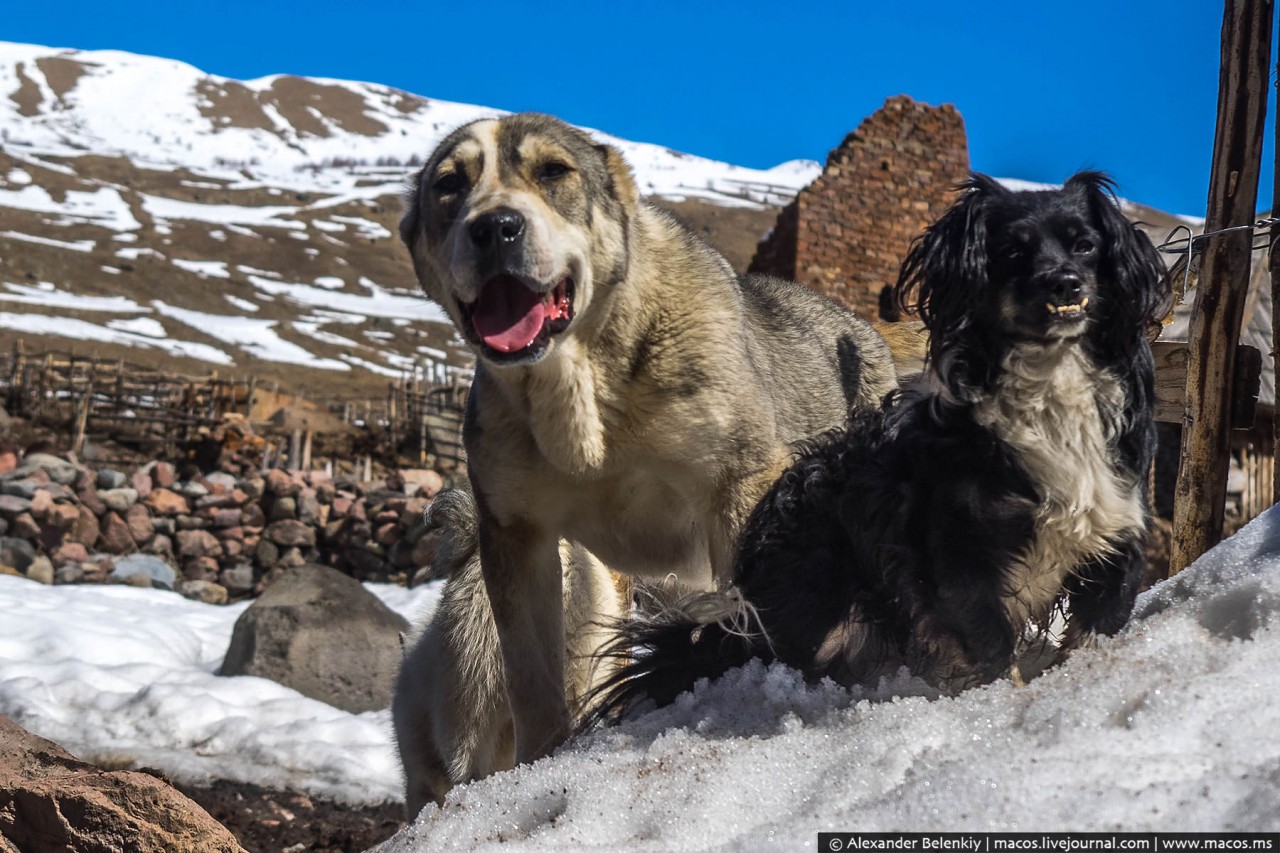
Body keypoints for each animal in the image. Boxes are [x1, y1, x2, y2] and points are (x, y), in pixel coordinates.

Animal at [394, 112, 896, 809]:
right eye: (448, 184)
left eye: (554, 171)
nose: (494, 227)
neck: (584, 386)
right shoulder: (518, 536)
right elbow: (533, 682)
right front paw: (536, 769)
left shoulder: (739, 486)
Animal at [588, 169, 1172, 712]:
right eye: (1011, 251)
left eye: (1086, 245)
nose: (1066, 284)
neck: (1052, 384)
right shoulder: (952, 555)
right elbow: (989, 643)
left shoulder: (1116, 527)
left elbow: (1099, 621)